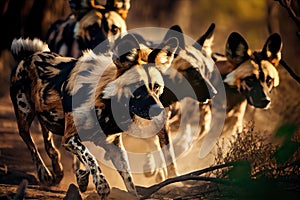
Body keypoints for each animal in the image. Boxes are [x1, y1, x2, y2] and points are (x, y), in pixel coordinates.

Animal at [10, 34, 179, 198]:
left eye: (156, 87)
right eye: (137, 87)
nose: (158, 110)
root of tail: (30, 55)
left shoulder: (114, 145)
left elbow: (127, 177)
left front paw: (84, 178)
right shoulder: (70, 138)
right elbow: (90, 157)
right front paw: (101, 184)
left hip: (48, 119)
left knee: (49, 144)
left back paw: (58, 170)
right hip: (25, 115)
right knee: (30, 143)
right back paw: (44, 173)